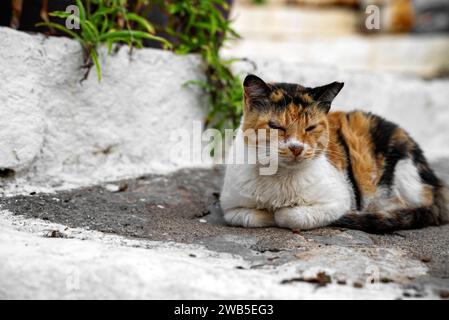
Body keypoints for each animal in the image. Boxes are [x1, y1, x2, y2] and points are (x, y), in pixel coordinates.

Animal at [221, 75, 448, 235]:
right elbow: (251, 217)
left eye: (311, 127)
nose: (296, 147)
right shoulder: (230, 209)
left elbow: (289, 216)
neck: (279, 177)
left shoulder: (339, 199)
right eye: (276, 126)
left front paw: (280, 212)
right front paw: (268, 213)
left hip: (398, 174)